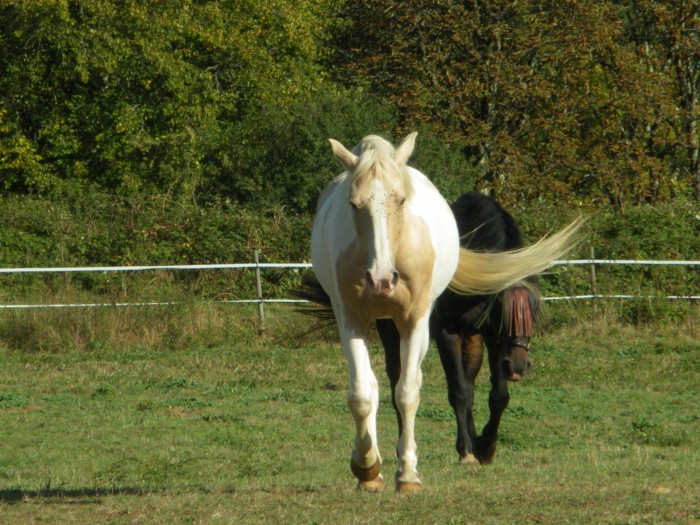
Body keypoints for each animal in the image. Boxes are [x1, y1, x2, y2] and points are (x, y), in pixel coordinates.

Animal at [378, 190, 540, 464]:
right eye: (503, 308)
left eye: (534, 311)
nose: (518, 367)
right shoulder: (448, 333)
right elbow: (459, 392)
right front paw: (466, 451)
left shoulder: (492, 338)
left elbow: (497, 396)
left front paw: (485, 445)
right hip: (393, 334)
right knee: (398, 381)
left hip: (472, 338)